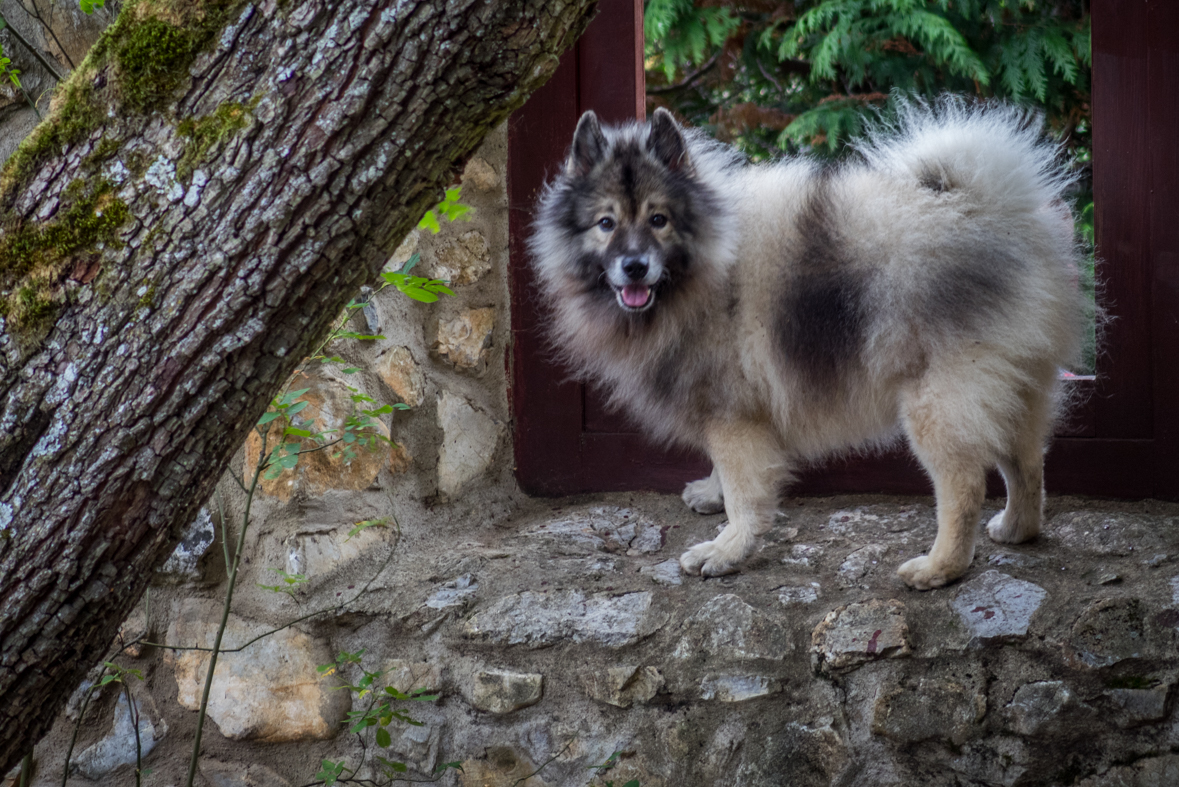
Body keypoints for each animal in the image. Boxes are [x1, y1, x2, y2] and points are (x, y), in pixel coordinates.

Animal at [532, 100, 1084, 589]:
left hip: (939, 401)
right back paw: (1017, 529)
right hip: (1017, 385)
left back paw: (939, 567)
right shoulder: (729, 413)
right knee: (1027, 461)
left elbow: (745, 492)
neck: (707, 270)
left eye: (658, 219)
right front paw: (711, 493)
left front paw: (726, 549)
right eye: (606, 223)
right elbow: (726, 475)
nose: (634, 266)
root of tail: (994, 211)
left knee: (965, 484)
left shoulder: (733, 416)